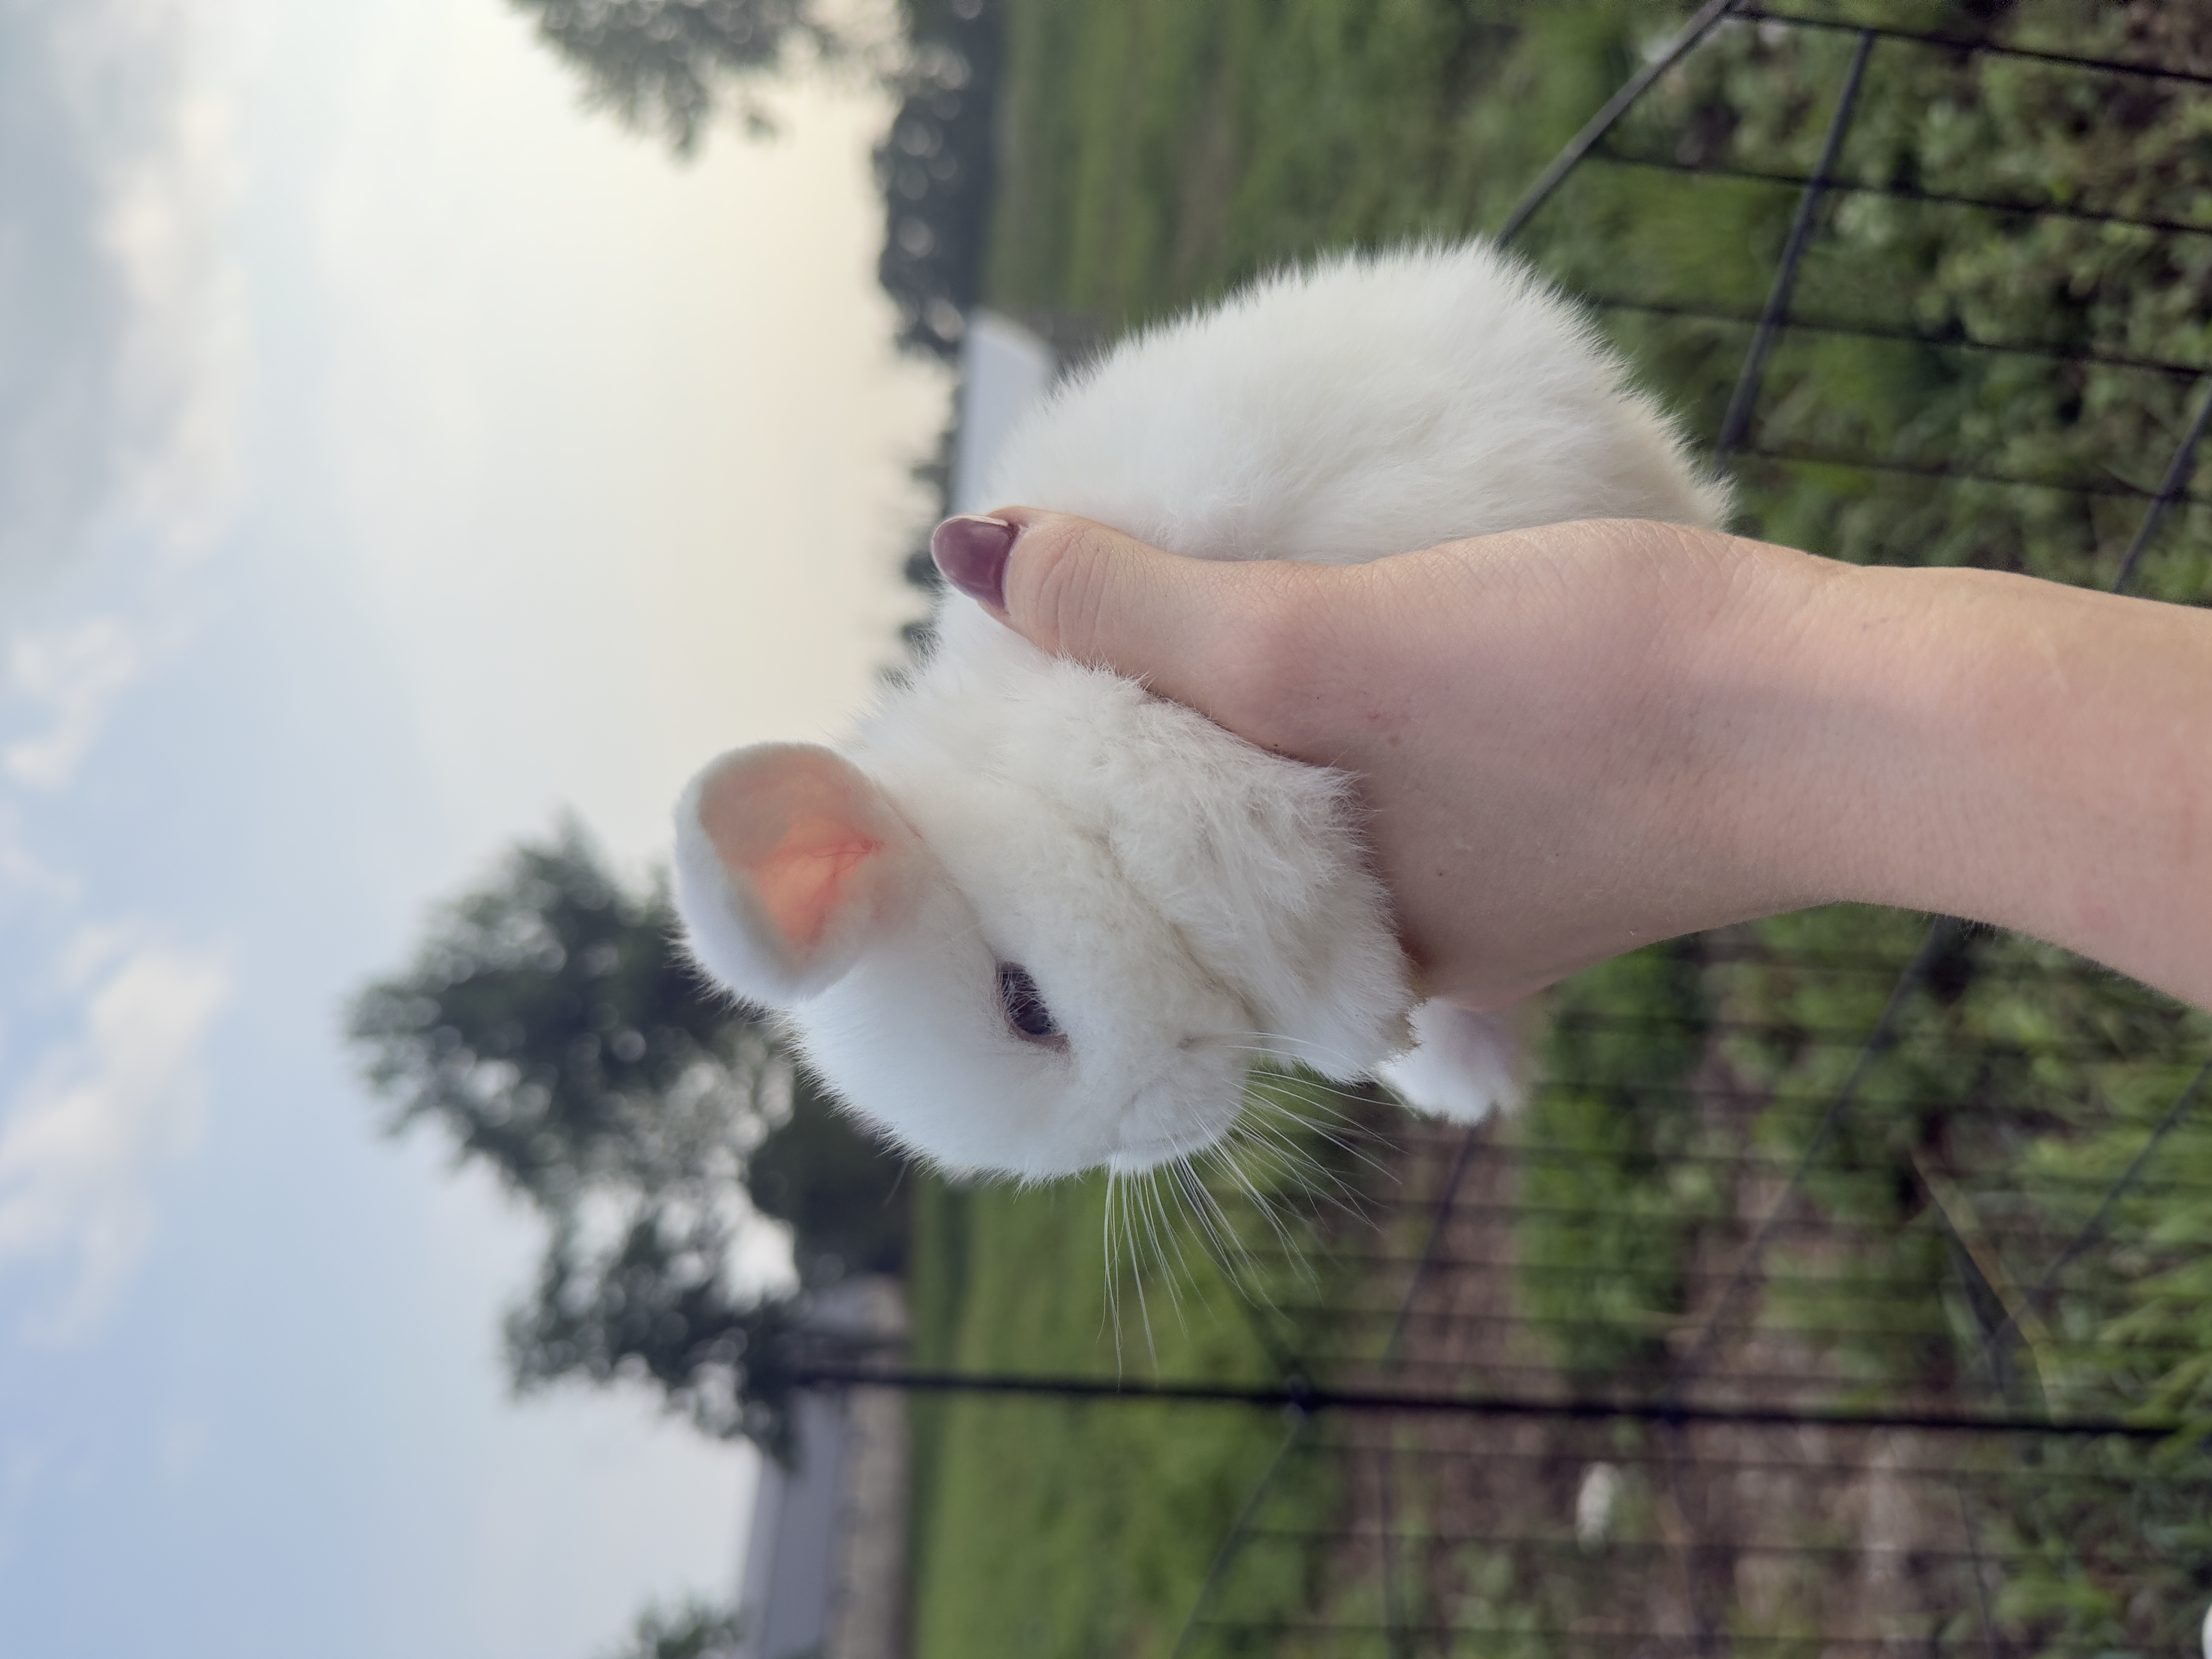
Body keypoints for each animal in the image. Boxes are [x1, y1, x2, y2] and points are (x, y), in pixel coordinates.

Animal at [673, 241, 1730, 1182]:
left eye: (1026, 1005)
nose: (1170, 1132)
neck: (1042, 779)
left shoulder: (1179, 784)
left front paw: (1360, 1011)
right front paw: (1465, 1074)